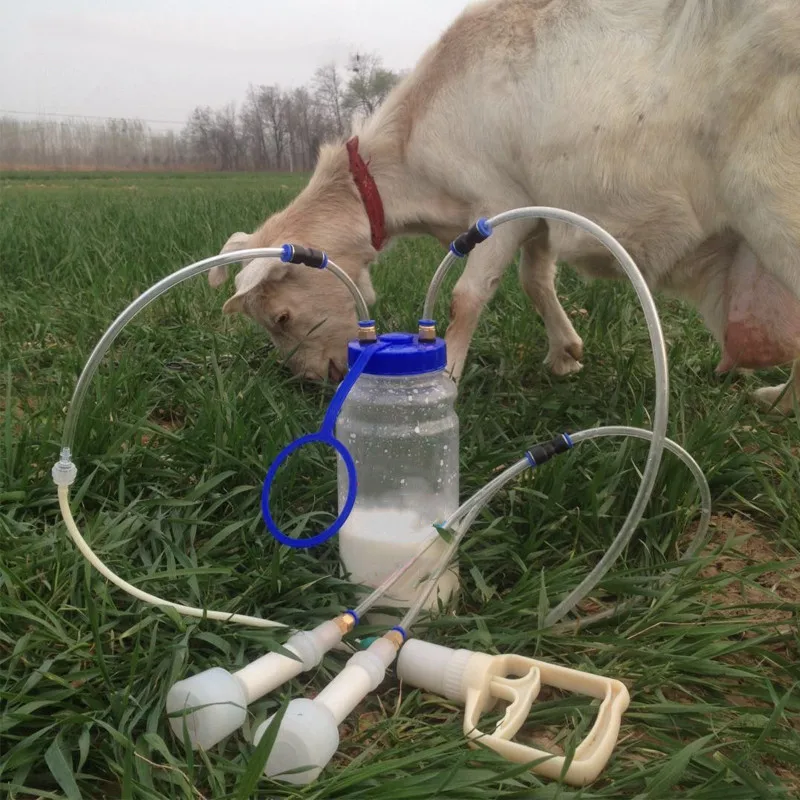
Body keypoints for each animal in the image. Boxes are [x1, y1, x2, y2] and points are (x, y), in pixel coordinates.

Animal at [208, 0, 800, 413]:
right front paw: (565, 354)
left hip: (775, 203)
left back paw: (777, 401)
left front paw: (445, 377)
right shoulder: (536, 212)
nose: (314, 380)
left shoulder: (499, 203)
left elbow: (467, 297)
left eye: (281, 316)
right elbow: (535, 281)